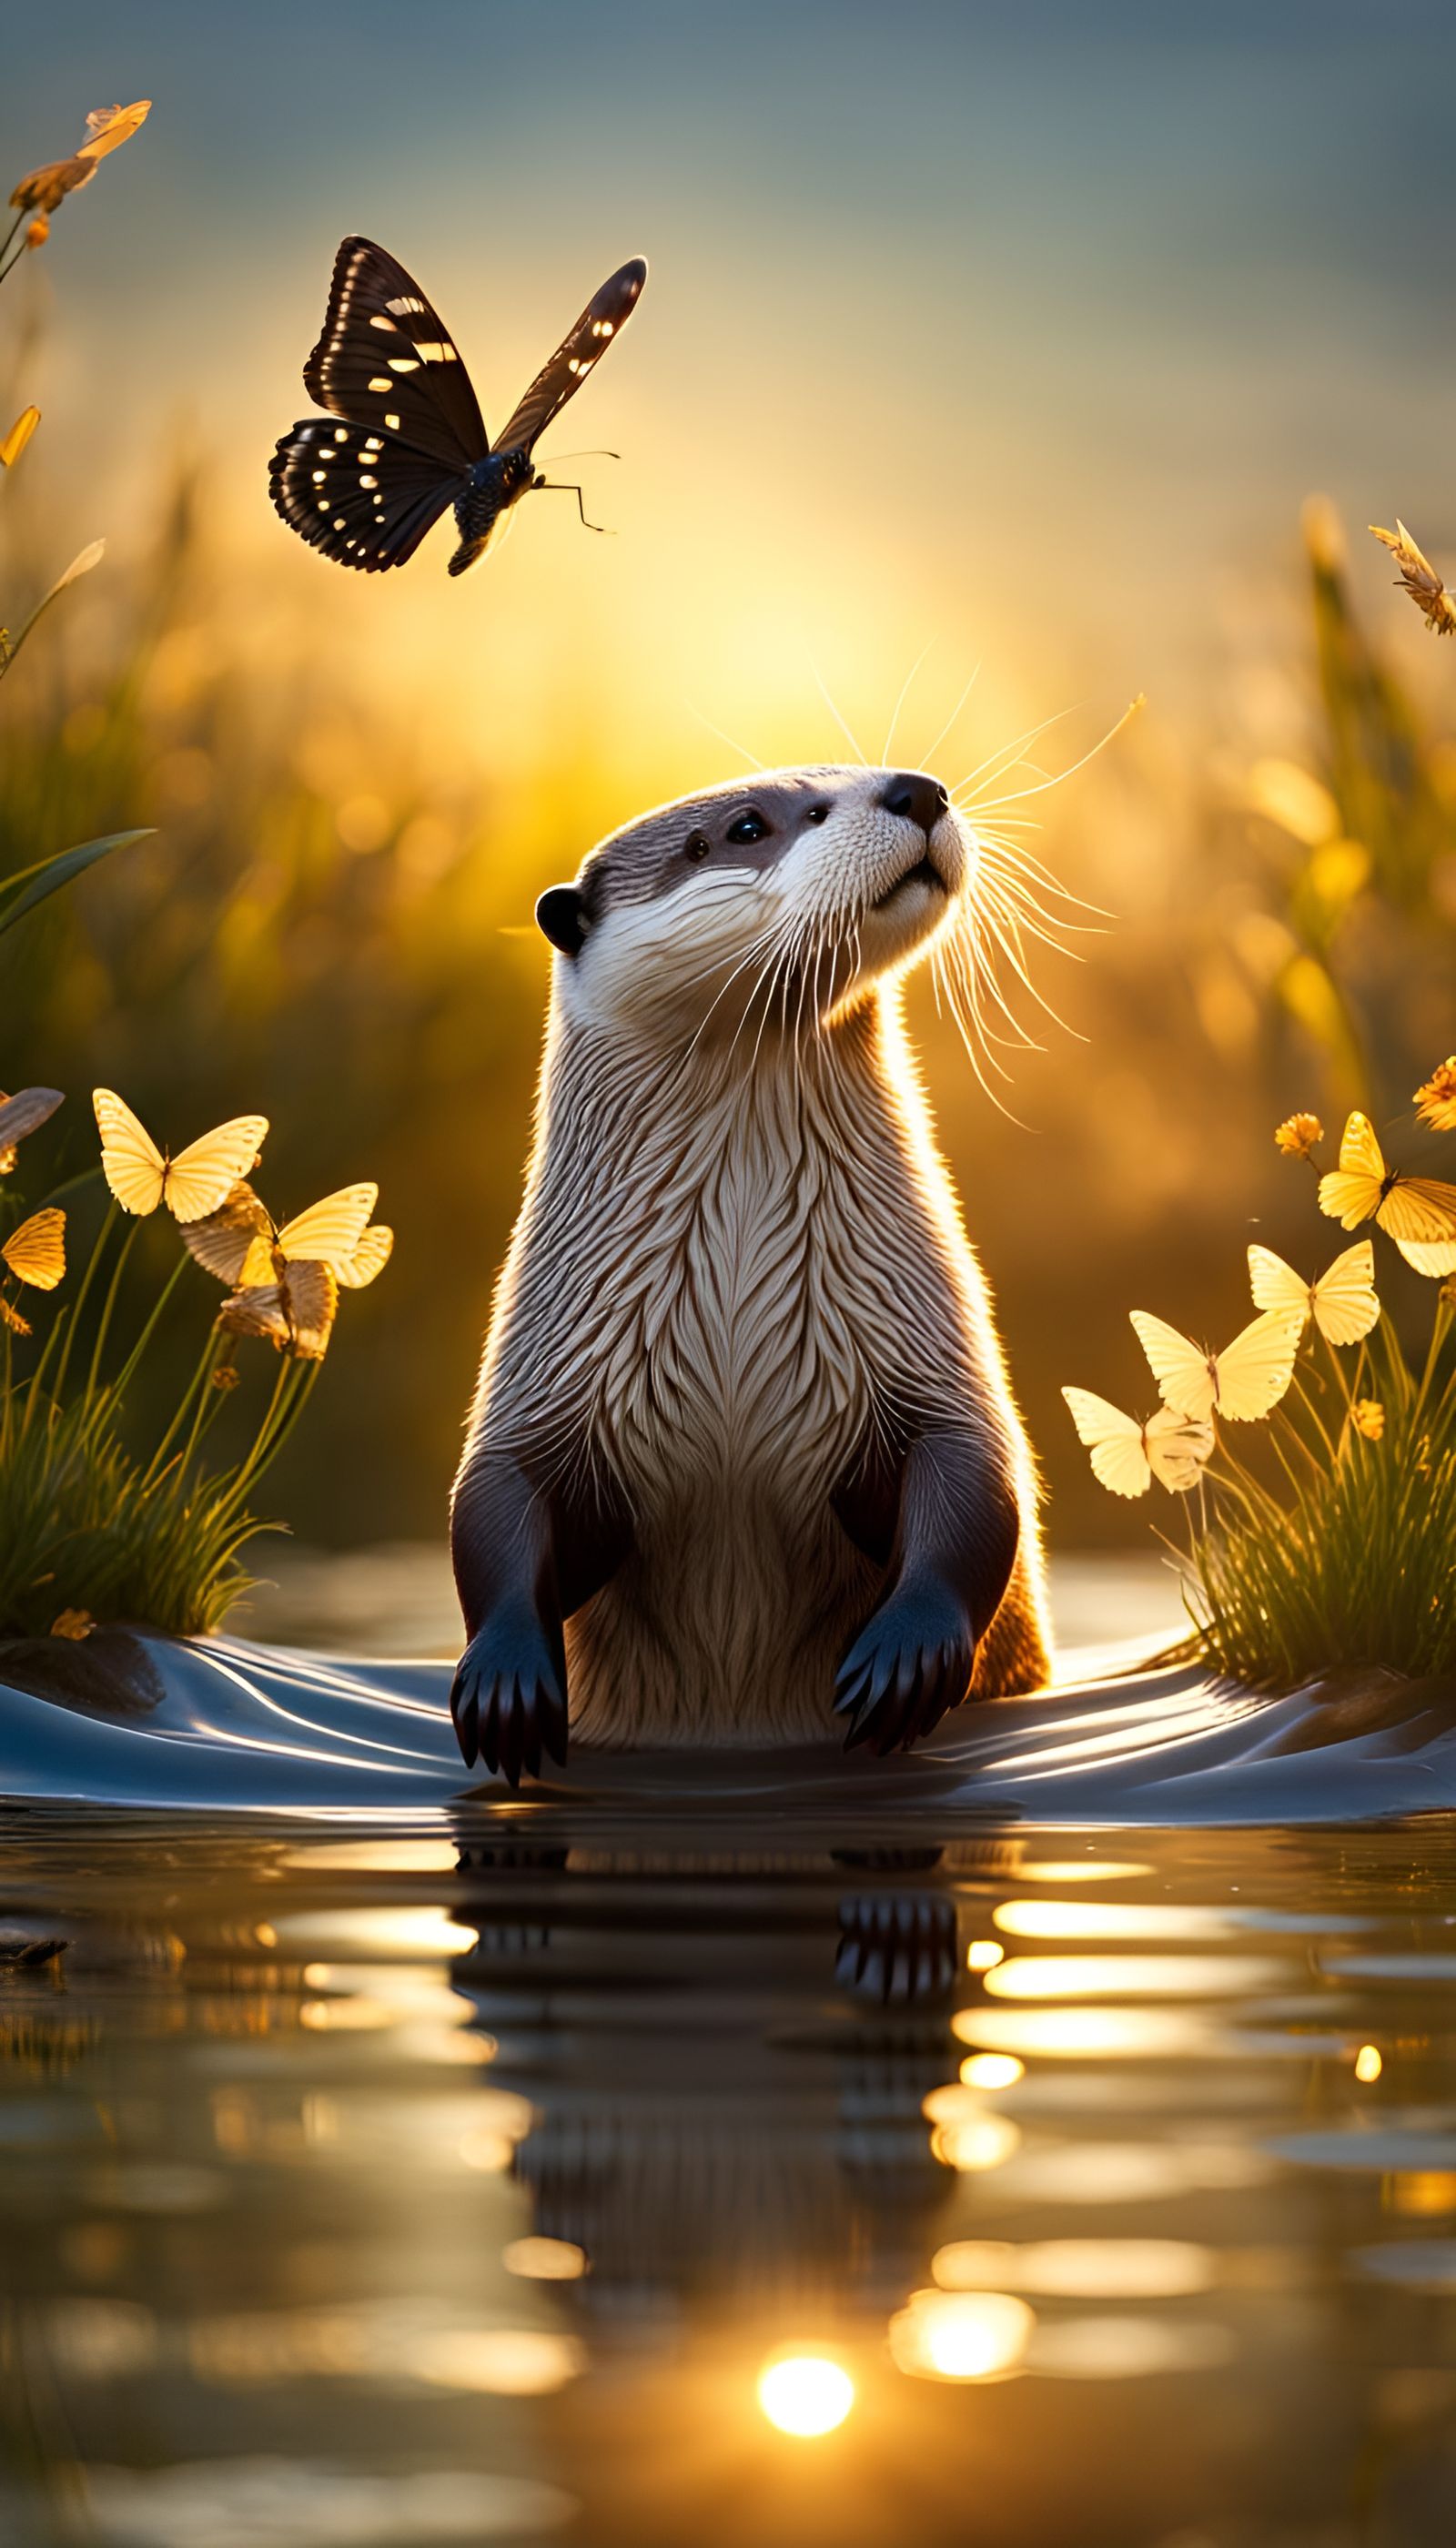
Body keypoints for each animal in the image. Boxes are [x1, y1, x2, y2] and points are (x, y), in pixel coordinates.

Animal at [449, 765, 1052, 1782]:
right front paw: (504, 1678)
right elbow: (493, 1499)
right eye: (745, 825)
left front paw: (906, 1655)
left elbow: (976, 1478)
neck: (733, 1304)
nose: (916, 789)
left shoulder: (921, 1341)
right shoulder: (554, 1358)